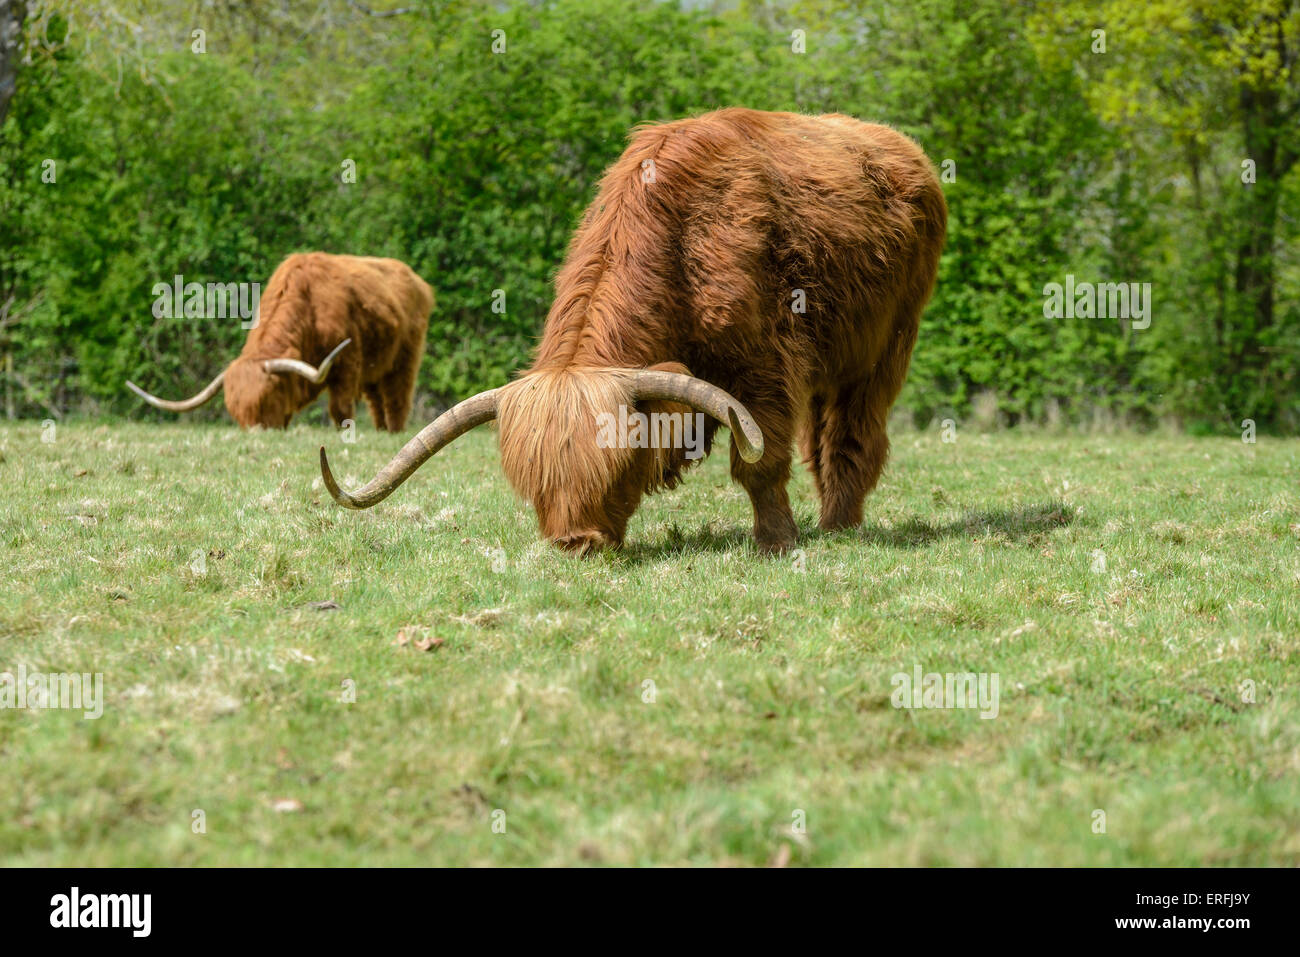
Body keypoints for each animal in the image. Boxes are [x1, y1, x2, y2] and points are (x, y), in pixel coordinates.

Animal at [127, 254, 434, 434]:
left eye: (266, 398)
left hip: (405, 356)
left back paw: (394, 431)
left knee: (397, 395)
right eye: (234, 409)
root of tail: (417, 281)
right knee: (377, 399)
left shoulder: (347, 363)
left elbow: (341, 409)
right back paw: (382, 429)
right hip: (378, 361)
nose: (257, 432)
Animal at [317, 107, 946, 548]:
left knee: (853, 435)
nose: (574, 543)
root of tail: (902, 149)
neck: (679, 238)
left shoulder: (762, 366)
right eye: (532, 480)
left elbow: (760, 463)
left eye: (615, 467)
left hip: (884, 347)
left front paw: (776, 541)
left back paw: (840, 524)